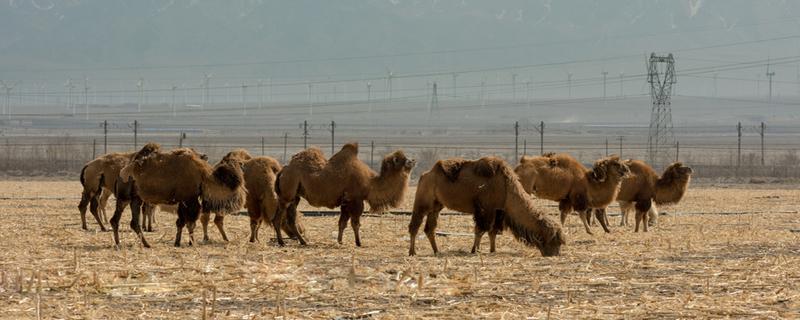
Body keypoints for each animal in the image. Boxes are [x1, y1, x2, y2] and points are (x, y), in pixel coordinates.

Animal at [114, 143, 242, 248]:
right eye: (233, 180)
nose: (239, 198)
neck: (203, 175)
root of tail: (122, 172)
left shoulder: (183, 201)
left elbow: (181, 222)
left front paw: (178, 242)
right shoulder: (190, 200)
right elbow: (190, 223)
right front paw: (191, 243)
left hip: (134, 199)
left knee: (130, 222)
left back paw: (141, 244)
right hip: (125, 198)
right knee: (118, 219)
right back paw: (121, 243)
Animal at [276, 143, 416, 248]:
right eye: (402, 160)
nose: (413, 160)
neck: (370, 183)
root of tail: (283, 170)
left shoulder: (346, 202)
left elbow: (342, 222)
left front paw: (340, 241)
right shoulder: (355, 200)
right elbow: (355, 223)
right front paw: (359, 243)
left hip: (295, 196)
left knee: (291, 218)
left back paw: (303, 241)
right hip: (286, 194)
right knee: (278, 217)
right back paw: (282, 242)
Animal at [410, 156, 564, 256]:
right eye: (554, 240)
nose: (555, 254)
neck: (506, 188)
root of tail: (425, 174)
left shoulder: (498, 211)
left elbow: (492, 232)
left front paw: (492, 250)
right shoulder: (485, 210)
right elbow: (480, 230)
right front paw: (475, 250)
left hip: (437, 206)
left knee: (429, 228)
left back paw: (436, 251)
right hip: (423, 202)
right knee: (415, 225)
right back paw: (412, 252)